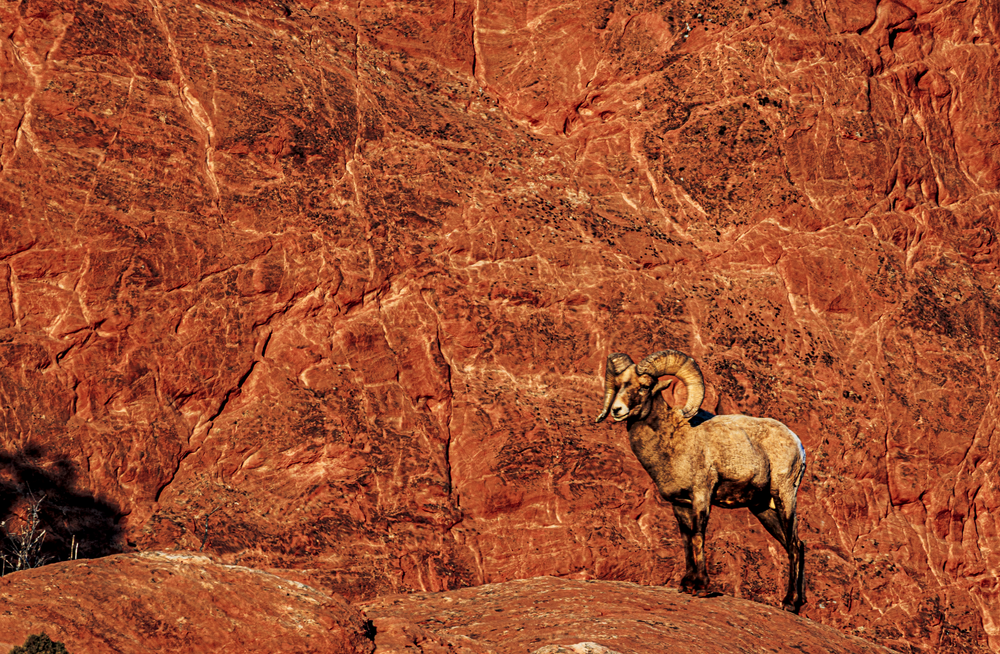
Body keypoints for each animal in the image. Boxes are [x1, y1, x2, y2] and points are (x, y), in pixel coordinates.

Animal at [595, 349, 807, 613]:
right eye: (619, 384)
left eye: (644, 386)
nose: (617, 410)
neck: (675, 440)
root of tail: (797, 443)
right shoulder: (679, 504)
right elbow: (686, 539)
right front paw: (686, 585)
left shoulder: (701, 495)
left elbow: (698, 535)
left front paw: (702, 588)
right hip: (762, 508)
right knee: (795, 544)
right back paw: (796, 603)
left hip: (784, 497)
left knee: (794, 545)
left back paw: (789, 603)